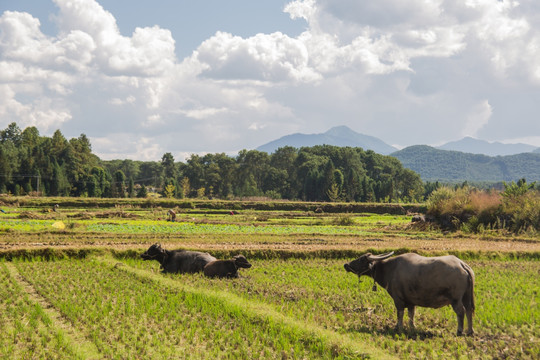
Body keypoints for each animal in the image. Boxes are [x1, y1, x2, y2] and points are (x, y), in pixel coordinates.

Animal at [344, 252, 474, 336]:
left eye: (361, 259)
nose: (346, 265)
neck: (390, 269)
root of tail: (462, 265)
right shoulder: (411, 301)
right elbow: (411, 314)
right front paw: (412, 328)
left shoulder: (398, 299)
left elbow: (400, 314)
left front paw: (398, 328)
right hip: (467, 296)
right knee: (469, 310)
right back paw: (470, 331)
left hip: (455, 299)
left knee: (461, 312)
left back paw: (459, 331)